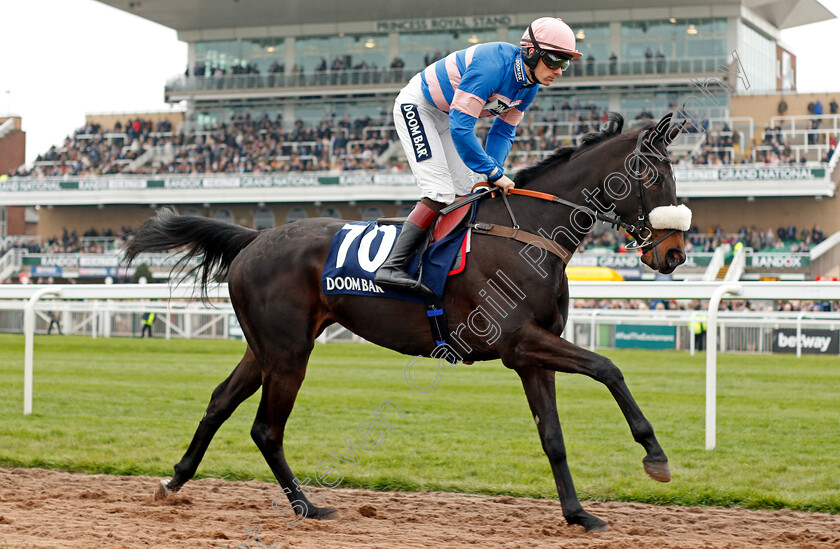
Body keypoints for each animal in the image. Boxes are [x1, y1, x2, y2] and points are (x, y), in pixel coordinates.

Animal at [126, 110, 688, 532]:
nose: (675, 253)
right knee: (266, 428)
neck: (528, 233)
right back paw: (308, 506)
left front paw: (577, 514)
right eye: (654, 175)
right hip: (288, 353)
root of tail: (254, 237)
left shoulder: (534, 354)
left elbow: (552, 435)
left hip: (266, 346)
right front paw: (655, 455)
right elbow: (609, 368)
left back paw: (174, 482)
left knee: (220, 401)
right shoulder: (519, 342)